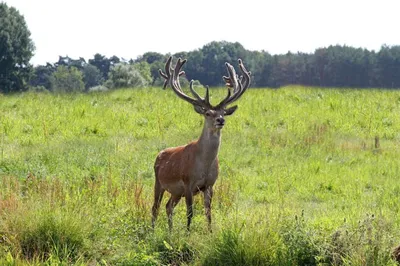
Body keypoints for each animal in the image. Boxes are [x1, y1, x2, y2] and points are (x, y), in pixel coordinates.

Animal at [151, 55, 250, 231]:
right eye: (208, 113)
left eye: (223, 112)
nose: (220, 120)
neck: (203, 165)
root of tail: (159, 154)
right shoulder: (188, 183)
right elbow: (190, 212)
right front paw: (187, 234)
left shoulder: (210, 184)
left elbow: (208, 212)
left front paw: (210, 233)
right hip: (158, 182)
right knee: (155, 207)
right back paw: (152, 231)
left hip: (176, 192)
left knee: (168, 206)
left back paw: (170, 232)